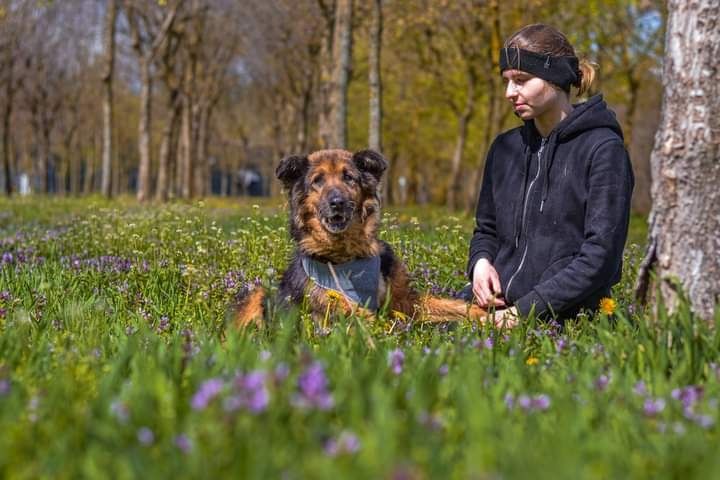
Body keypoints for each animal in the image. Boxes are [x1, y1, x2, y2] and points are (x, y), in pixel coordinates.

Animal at [233, 149, 486, 330]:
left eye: (349, 178)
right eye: (317, 181)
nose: (337, 202)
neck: (348, 252)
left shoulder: (405, 300)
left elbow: (451, 305)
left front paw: (485, 315)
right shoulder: (331, 304)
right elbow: (373, 319)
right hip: (258, 293)